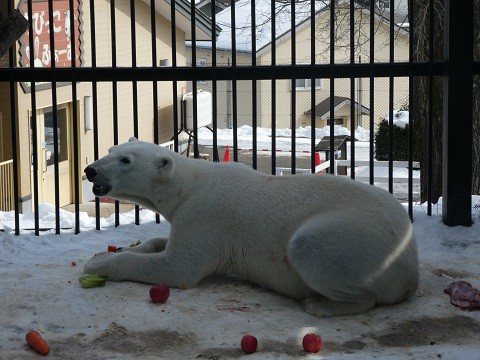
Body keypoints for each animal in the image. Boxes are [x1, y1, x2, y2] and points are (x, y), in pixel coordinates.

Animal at [84, 136, 418, 316]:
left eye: (126, 160)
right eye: (111, 150)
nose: (90, 170)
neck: (189, 185)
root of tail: (410, 261)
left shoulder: (206, 216)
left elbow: (177, 267)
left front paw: (98, 263)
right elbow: (162, 243)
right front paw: (117, 249)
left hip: (359, 240)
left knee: (309, 246)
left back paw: (320, 304)